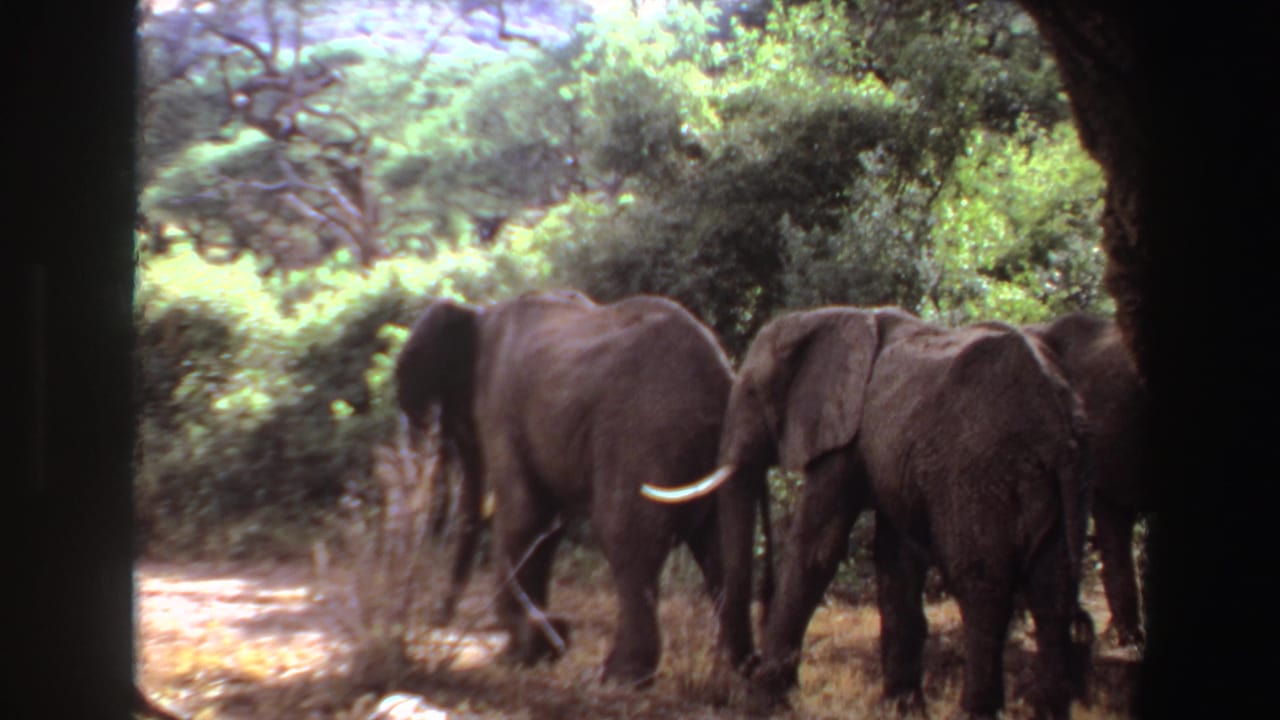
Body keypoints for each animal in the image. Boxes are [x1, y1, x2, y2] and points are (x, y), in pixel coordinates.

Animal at [395, 289, 735, 686]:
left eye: (455, 427)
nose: (439, 620)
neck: (477, 312)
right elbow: (546, 526)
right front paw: (539, 648)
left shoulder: (500, 407)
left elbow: (524, 515)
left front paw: (524, 651)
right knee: (720, 545)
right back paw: (733, 670)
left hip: (647, 433)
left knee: (625, 535)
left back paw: (619, 676)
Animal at [645, 306, 1091, 719]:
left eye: (754, 393)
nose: (747, 667)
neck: (832, 317)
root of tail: (1059, 430)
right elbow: (894, 560)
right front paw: (901, 708)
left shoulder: (846, 434)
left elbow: (817, 548)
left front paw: (764, 699)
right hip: (1051, 481)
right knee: (1051, 592)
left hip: (983, 472)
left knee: (981, 583)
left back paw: (974, 712)